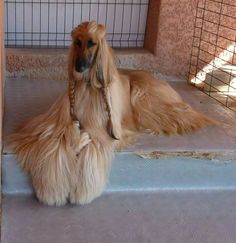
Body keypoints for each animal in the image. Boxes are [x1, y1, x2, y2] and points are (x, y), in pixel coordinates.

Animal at [10, 21, 216, 206]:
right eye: (77, 41)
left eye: (92, 43)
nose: (78, 67)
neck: (87, 86)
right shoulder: (49, 126)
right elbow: (55, 143)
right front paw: (52, 188)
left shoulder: (107, 132)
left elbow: (94, 146)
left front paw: (83, 190)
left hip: (144, 97)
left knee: (181, 115)